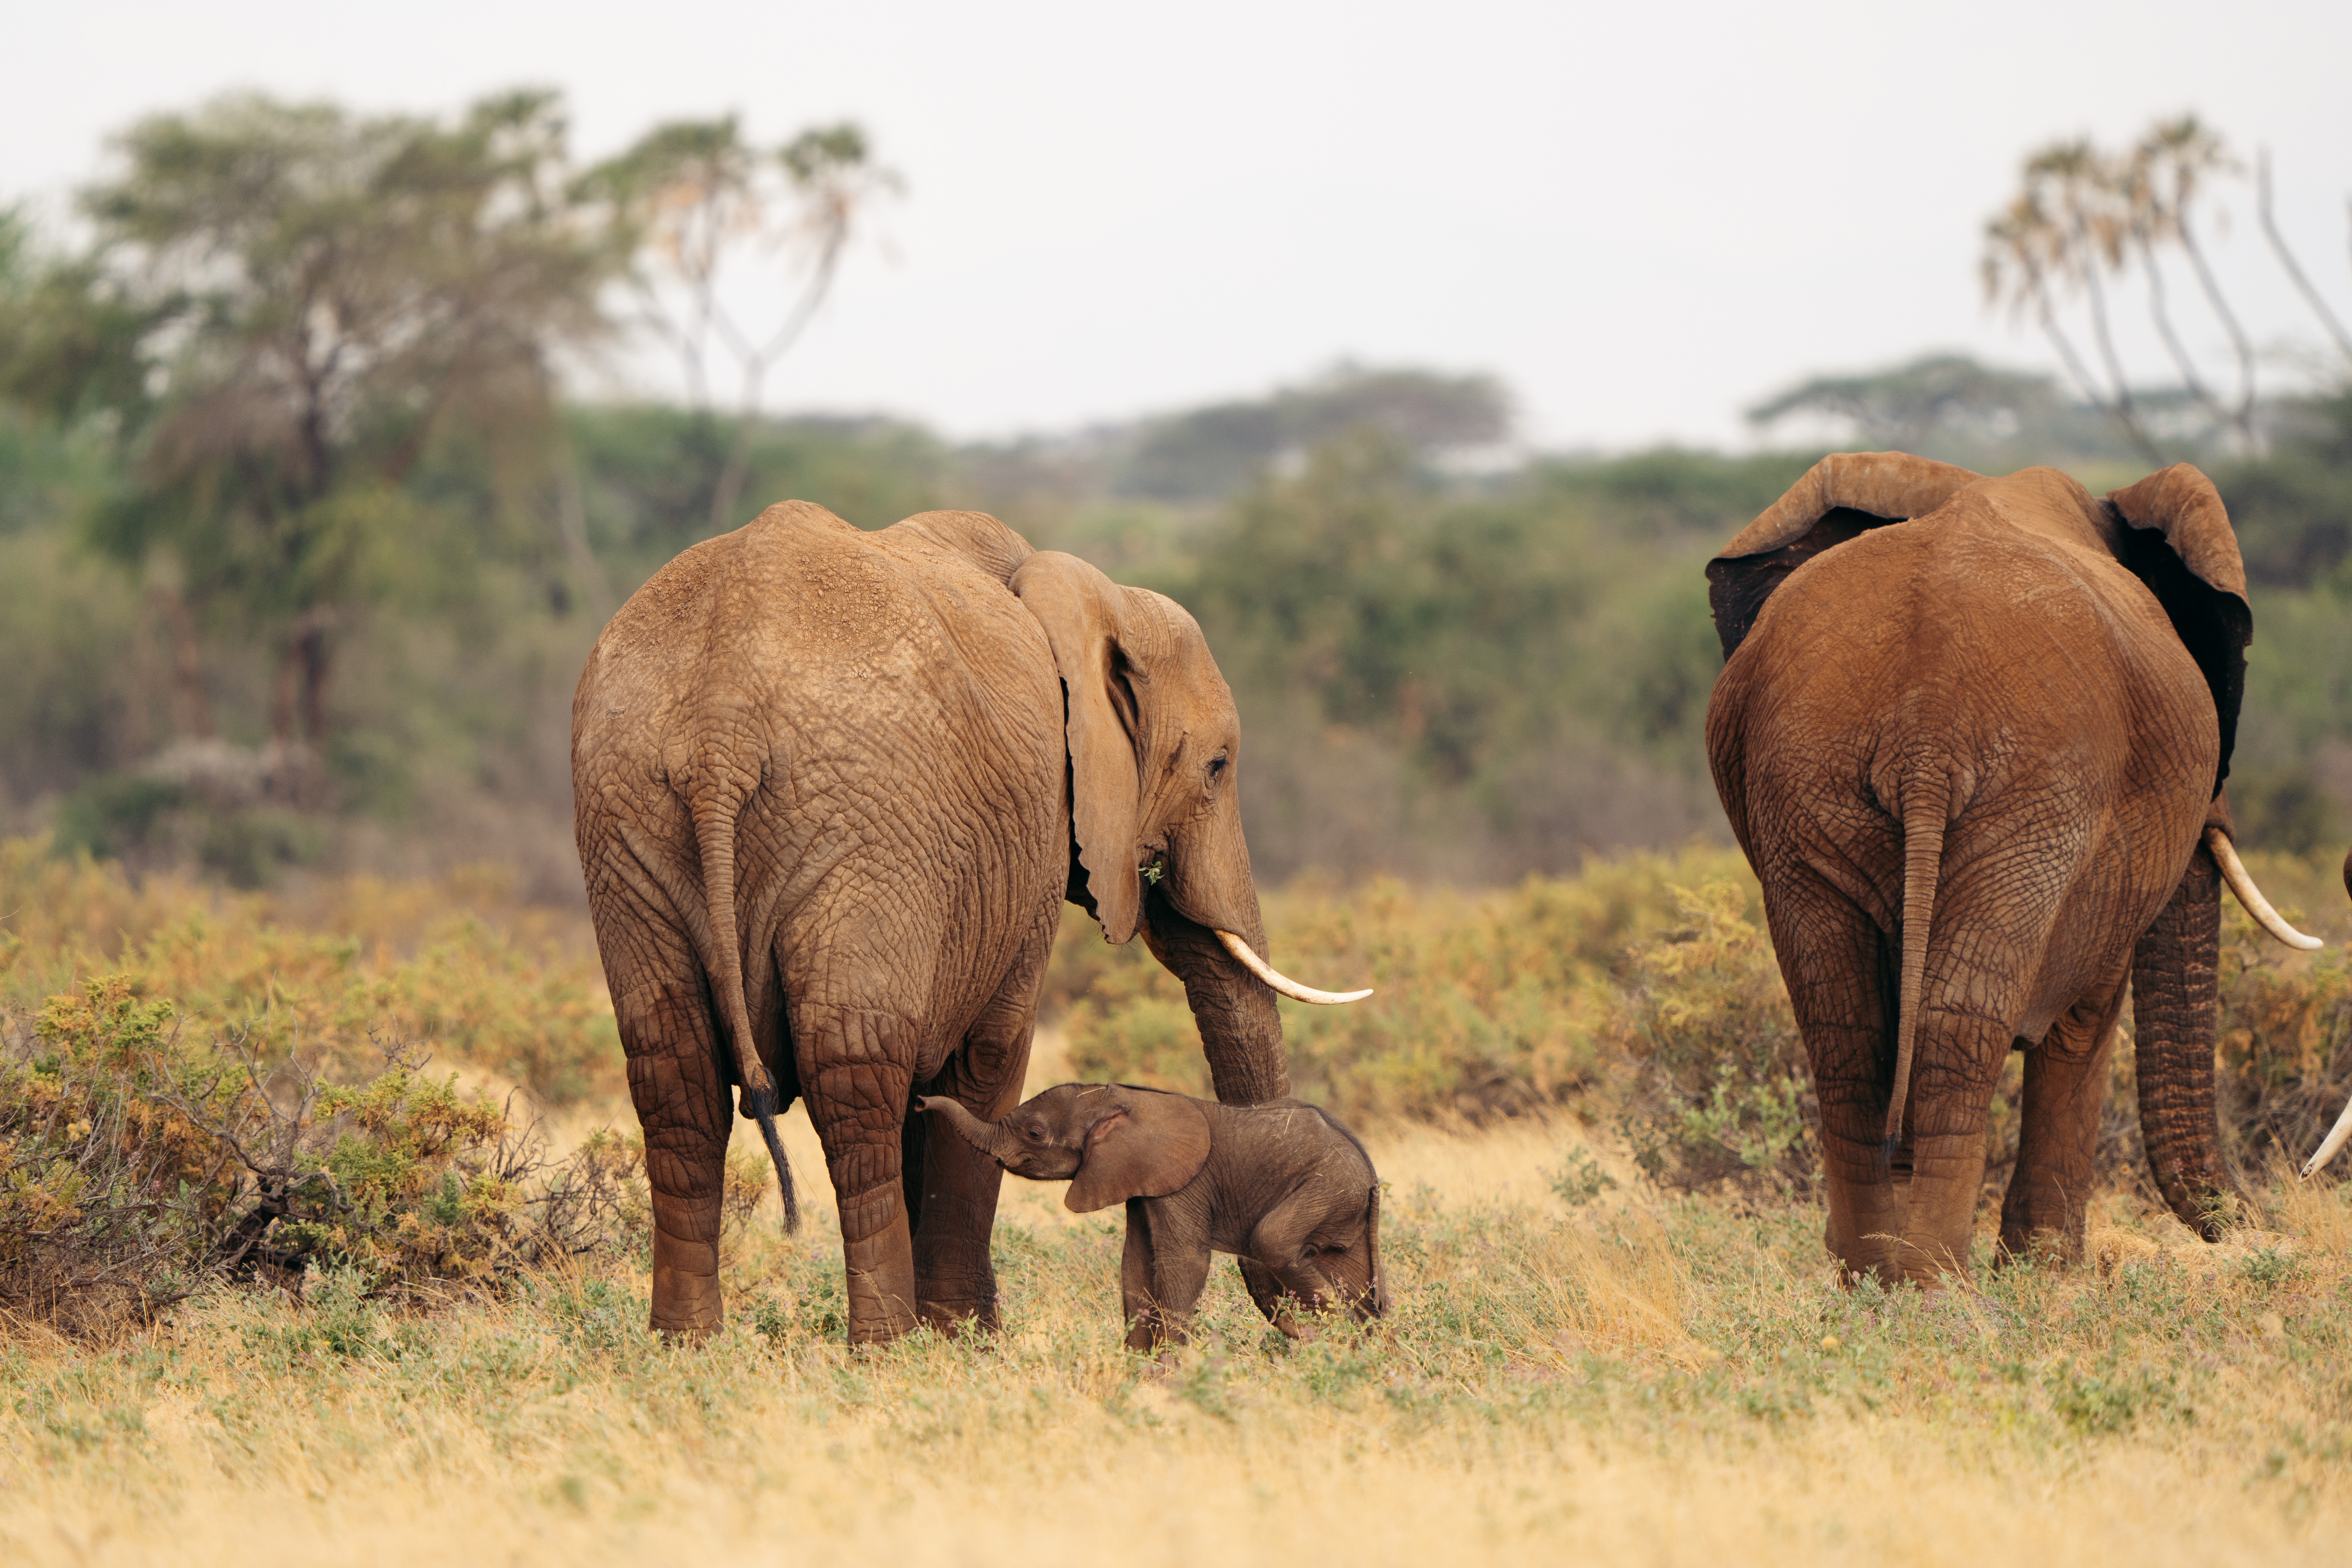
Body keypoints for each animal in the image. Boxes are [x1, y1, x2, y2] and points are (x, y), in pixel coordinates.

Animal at [915, 1082, 1385, 1347]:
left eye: (1034, 1133)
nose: (919, 1103)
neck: (1126, 1101)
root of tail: (1370, 1172)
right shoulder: (1138, 1182)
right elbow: (1135, 1265)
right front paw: (1140, 1375)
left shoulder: (1183, 1184)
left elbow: (1183, 1264)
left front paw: (1169, 1377)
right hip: (1341, 1206)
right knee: (1352, 1278)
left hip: (1327, 1187)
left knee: (1272, 1241)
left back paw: (1335, 1341)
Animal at [1703, 455, 2323, 1285]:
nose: (2286, 1203)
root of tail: (1924, 727)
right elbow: (2084, 1018)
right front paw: (2048, 1275)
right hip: (2036, 793)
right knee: (1960, 1026)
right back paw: (1936, 1287)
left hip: (1810, 778)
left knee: (1847, 1028)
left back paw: (1871, 1278)